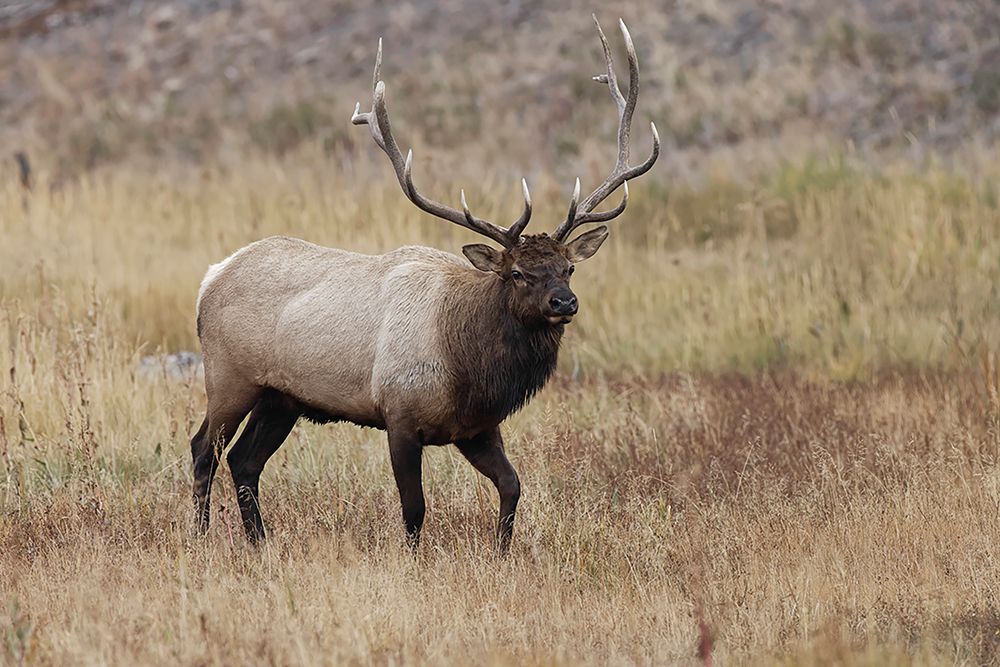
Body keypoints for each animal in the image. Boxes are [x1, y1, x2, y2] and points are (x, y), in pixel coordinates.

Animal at [190, 15, 659, 553]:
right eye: (516, 273)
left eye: (569, 268)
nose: (565, 302)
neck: (470, 369)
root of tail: (210, 279)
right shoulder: (399, 415)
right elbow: (414, 509)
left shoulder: (476, 427)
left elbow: (513, 486)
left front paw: (502, 552)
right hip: (229, 375)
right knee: (204, 449)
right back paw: (201, 536)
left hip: (281, 396)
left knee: (244, 460)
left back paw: (260, 543)